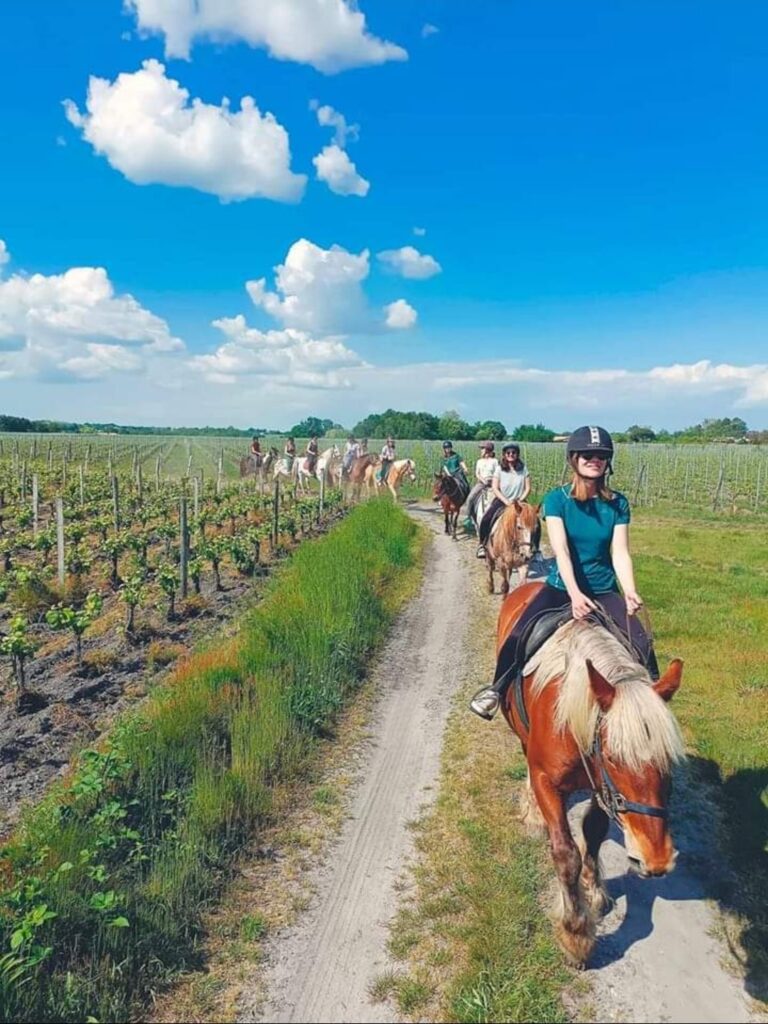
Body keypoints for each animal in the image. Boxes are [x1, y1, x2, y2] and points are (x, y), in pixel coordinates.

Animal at [499, 585, 684, 966]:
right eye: (613, 757)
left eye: (668, 759)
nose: (657, 860)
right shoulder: (548, 780)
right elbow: (565, 853)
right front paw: (576, 933)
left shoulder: (602, 788)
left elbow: (594, 833)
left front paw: (594, 889)